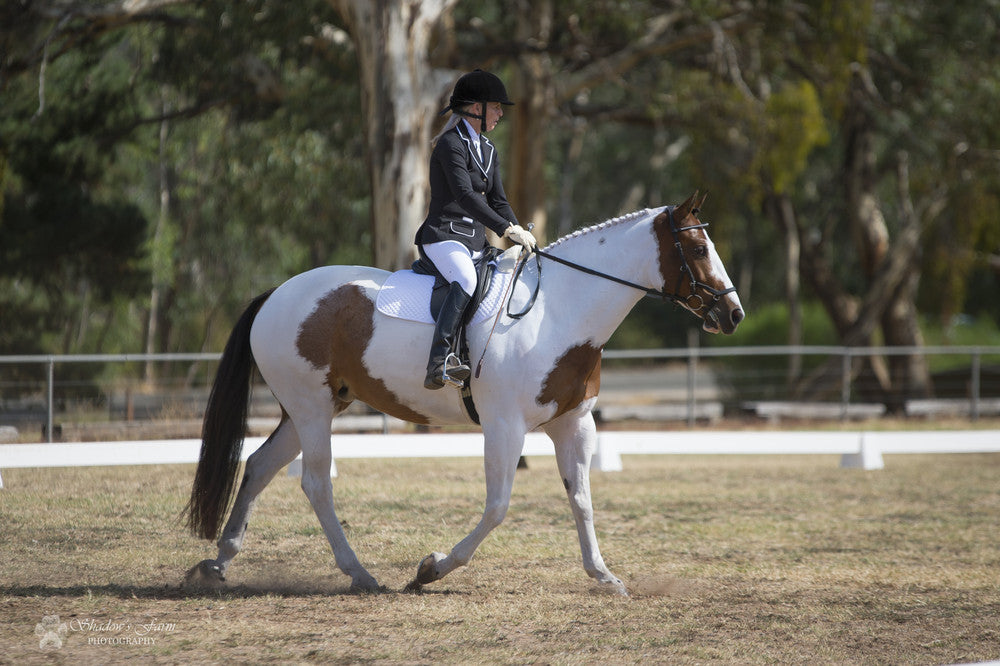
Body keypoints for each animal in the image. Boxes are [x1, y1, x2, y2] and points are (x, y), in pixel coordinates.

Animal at [184, 192, 744, 596]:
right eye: (698, 250)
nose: (733, 314)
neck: (559, 312)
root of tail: (275, 294)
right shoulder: (505, 426)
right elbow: (498, 506)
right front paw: (431, 569)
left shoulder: (573, 424)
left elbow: (581, 499)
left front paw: (604, 577)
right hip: (312, 408)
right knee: (316, 483)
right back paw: (359, 574)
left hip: (312, 408)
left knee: (260, 465)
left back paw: (218, 563)